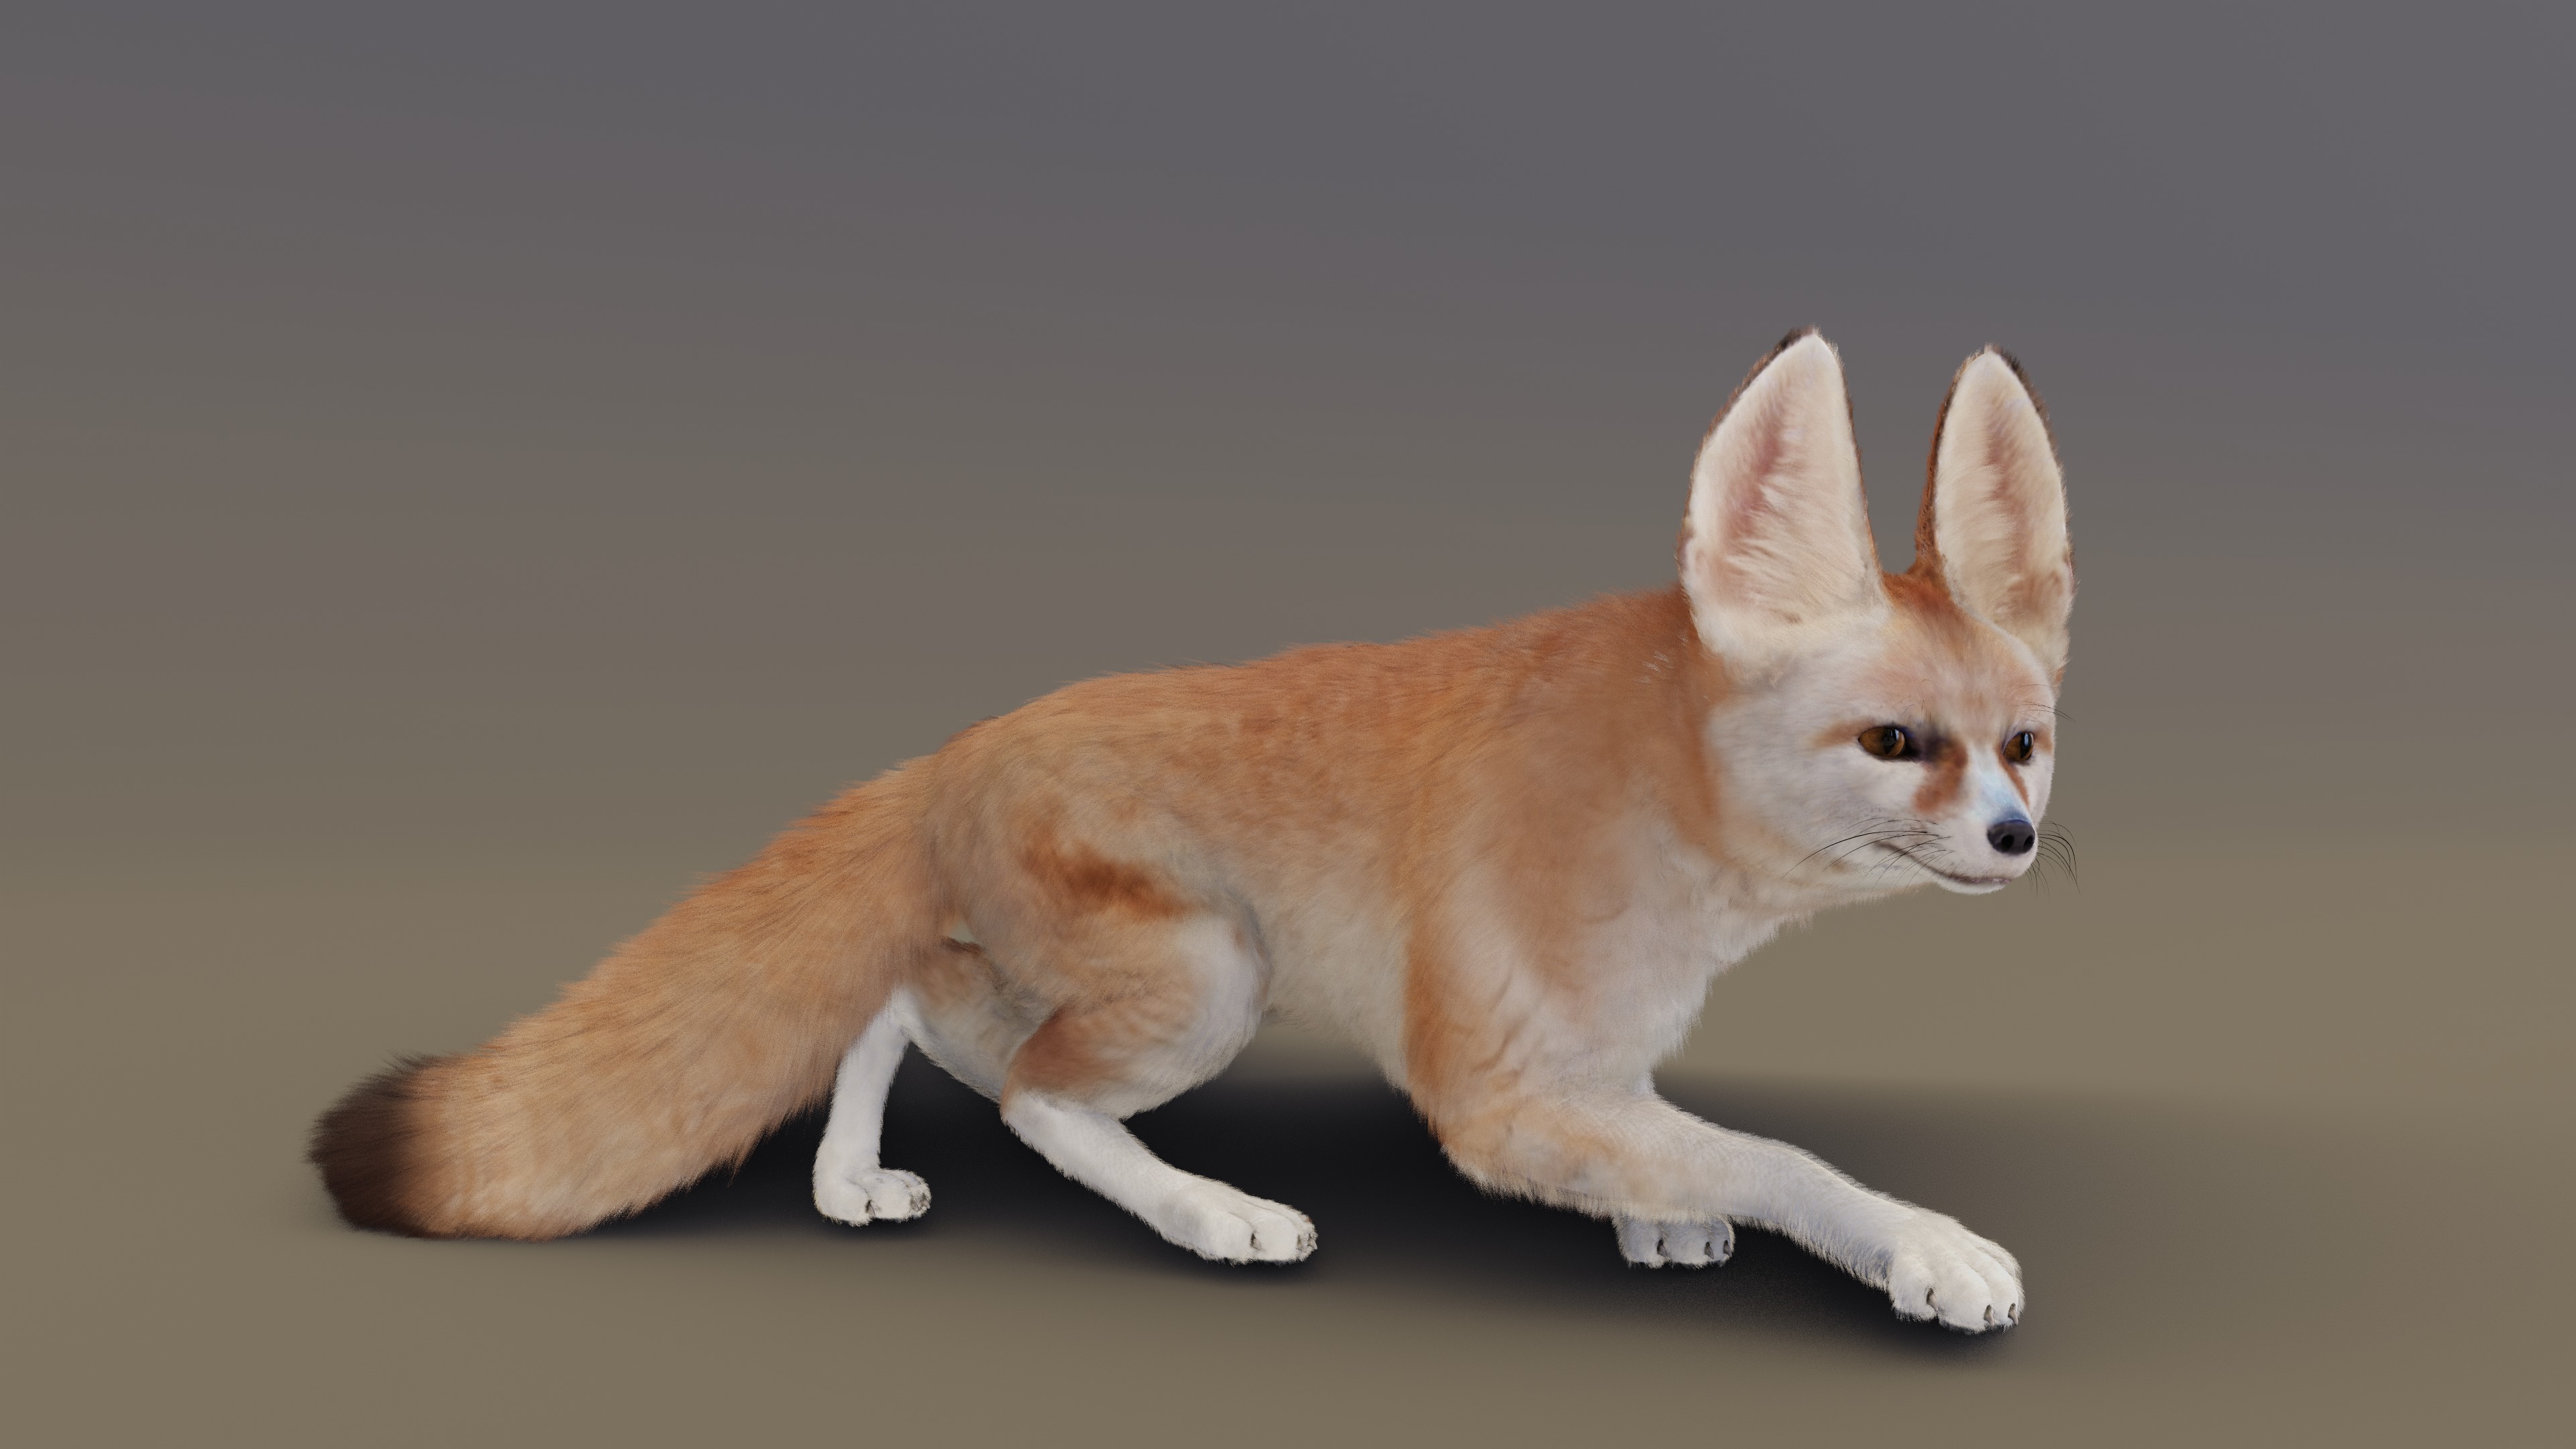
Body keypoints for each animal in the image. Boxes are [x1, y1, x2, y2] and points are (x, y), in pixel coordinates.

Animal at [313, 329, 2072, 1332]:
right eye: (1895, 744)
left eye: (2024, 746)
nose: (2016, 840)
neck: (1663, 799)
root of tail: (946, 747)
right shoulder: (1495, 1093)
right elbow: (1783, 1158)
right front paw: (1920, 1247)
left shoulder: (1590, 1068)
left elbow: (1684, 1145)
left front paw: (1660, 1217)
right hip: (1209, 974)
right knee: (1032, 1095)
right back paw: (1211, 1214)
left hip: (1121, 973)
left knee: (904, 1006)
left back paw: (848, 1181)